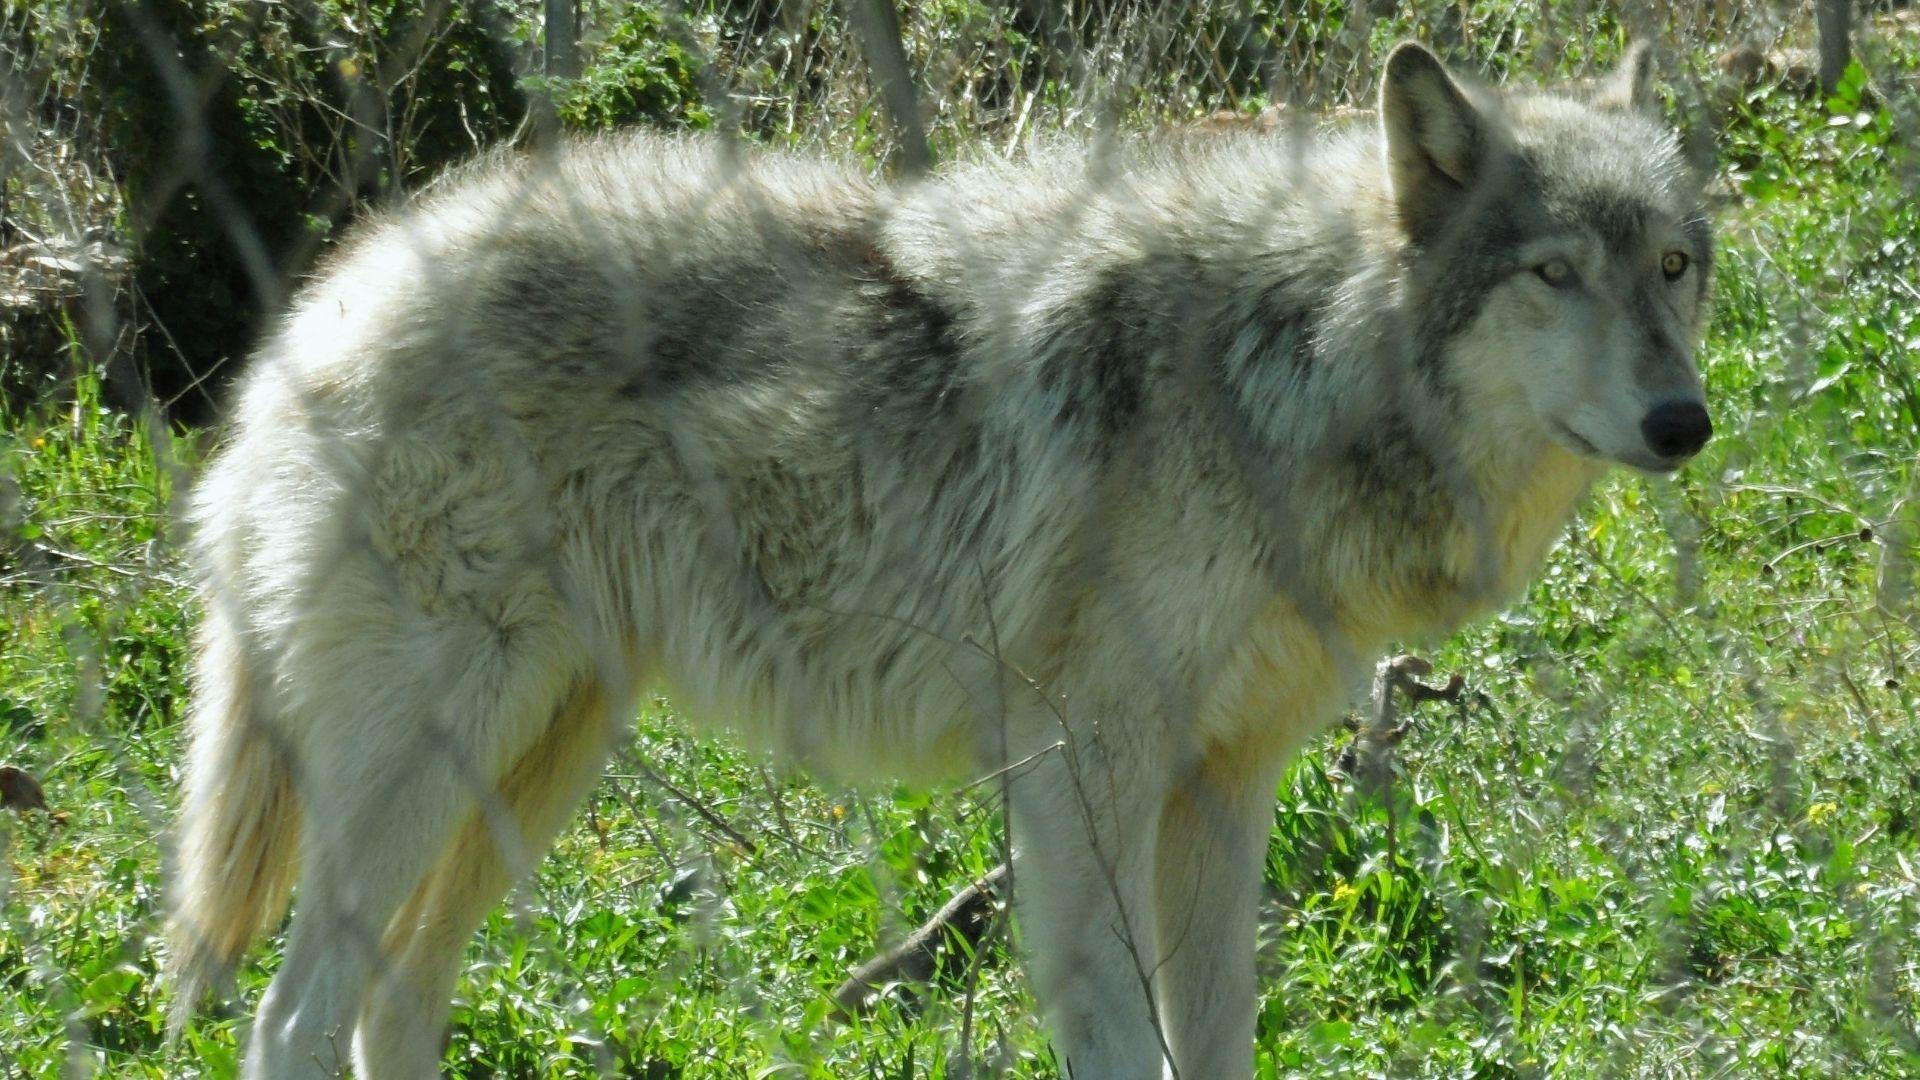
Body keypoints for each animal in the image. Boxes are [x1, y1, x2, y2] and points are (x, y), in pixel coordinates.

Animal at [166, 40, 1713, 1080]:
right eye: (1554, 273)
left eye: (1675, 266)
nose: (1683, 422)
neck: (1295, 366)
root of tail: (334, 296)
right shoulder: (1085, 770)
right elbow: (1120, 1035)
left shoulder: (1225, 787)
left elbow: (1217, 1043)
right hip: (437, 758)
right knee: (292, 1017)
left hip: (540, 762)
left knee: (389, 1006)